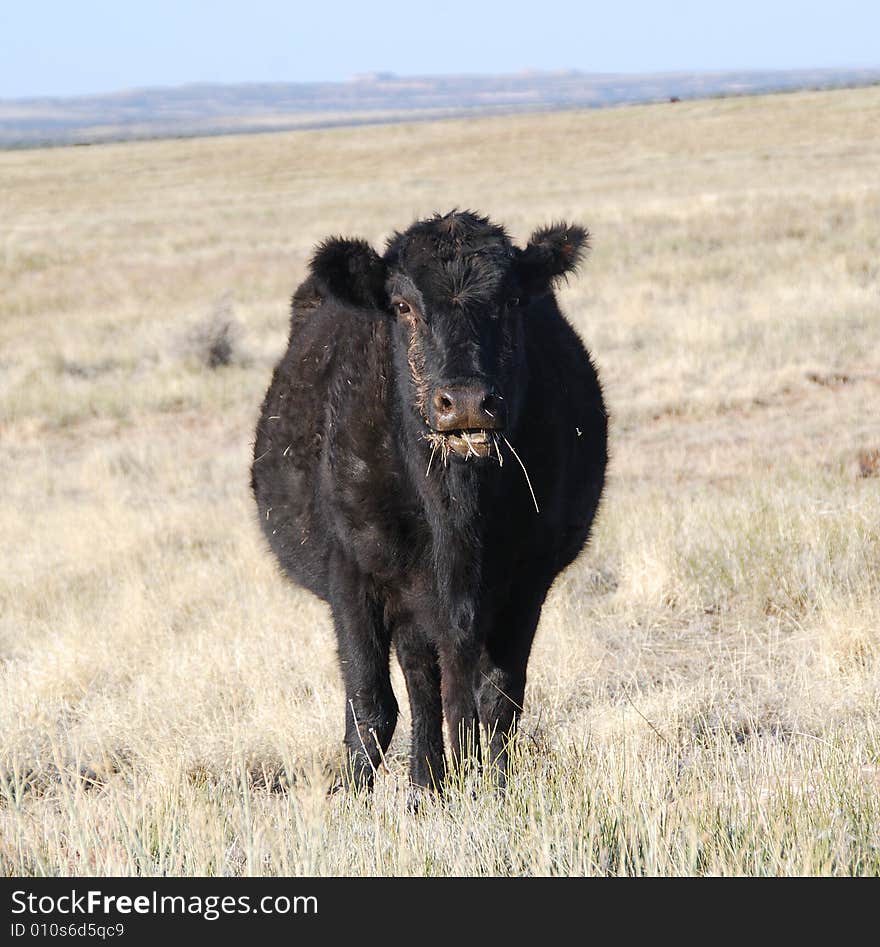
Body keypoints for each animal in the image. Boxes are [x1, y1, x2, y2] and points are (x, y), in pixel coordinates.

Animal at [248, 209, 604, 792]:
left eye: (512, 300)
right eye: (402, 305)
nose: (465, 401)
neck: (455, 511)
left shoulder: (527, 581)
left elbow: (497, 696)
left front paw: (494, 789)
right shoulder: (353, 577)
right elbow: (370, 705)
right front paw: (357, 800)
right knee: (415, 684)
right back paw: (425, 783)